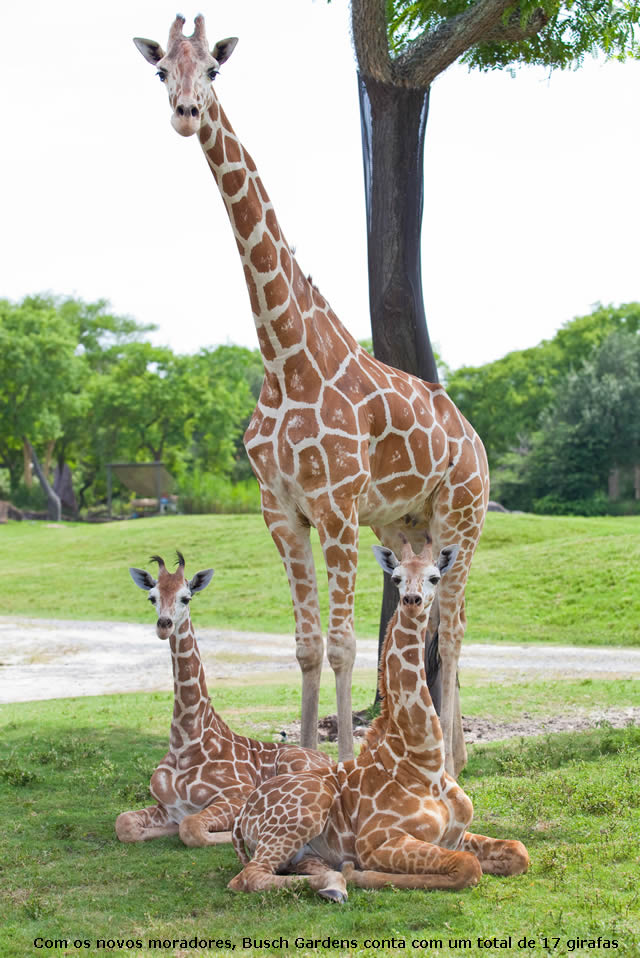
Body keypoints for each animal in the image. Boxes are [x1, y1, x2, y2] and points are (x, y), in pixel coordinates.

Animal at [115, 556, 332, 848]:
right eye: (152, 597)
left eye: (186, 598)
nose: (164, 625)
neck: (185, 743)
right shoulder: (167, 806)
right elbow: (124, 823)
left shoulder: (237, 795)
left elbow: (192, 829)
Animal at [132, 15, 488, 776]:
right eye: (160, 70)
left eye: (213, 68)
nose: (185, 113)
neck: (284, 357)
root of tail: (474, 437)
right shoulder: (282, 512)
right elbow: (304, 645)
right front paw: (301, 757)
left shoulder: (337, 509)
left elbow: (345, 642)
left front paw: (347, 763)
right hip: (405, 526)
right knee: (440, 621)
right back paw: (453, 753)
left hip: (462, 519)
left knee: (455, 628)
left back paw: (450, 761)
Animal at [228, 544, 528, 904]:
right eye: (396, 577)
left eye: (434, 576)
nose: (412, 599)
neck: (424, 762)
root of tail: (242, 816)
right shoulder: (378, 842)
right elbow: (468, 867)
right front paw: (360, 874)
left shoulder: (456, 835)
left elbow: (519, 851)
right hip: (303, 813)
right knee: (247, 877)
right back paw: (337, 882)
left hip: (300, 850)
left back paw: (331, 880)